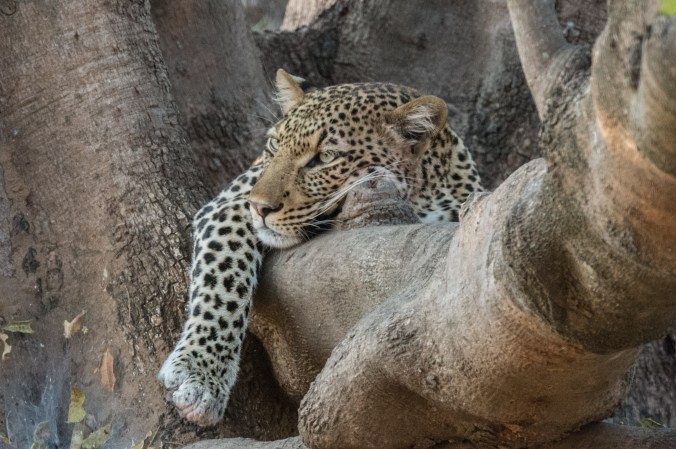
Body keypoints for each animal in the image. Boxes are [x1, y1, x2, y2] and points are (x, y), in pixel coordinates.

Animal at [158, 69, 483, 426]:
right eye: (274, 145)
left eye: (325, 158)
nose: (258, 206)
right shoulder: (228, 204)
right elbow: (222, 283)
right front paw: (200, 375)